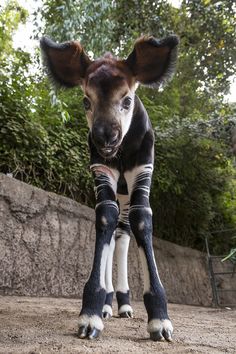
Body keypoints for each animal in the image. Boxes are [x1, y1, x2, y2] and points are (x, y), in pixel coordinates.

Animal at [40, 34, 179, 342]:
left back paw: (125, 305)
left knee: (124, 232)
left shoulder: (143, 170)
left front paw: (160, 320)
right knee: (115, 227)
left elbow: (142, 218)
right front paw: (91, 313)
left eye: (127, 100)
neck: (122, 151)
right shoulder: (101, 170)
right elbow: (104, 215)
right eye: (85, 101)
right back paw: (106, 304)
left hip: (126, 191)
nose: (105, 138)